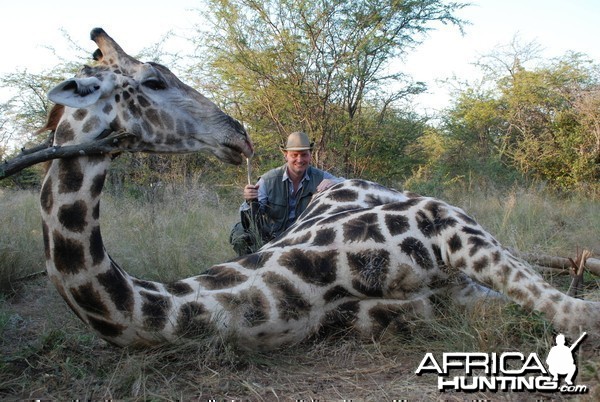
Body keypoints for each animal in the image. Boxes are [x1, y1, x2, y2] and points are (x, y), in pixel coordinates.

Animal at [39, 29, 596, 348]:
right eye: (154, 81)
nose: (236, 131)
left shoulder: (436, 216)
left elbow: (576, 313)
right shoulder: (436, 302)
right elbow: (561, 310)